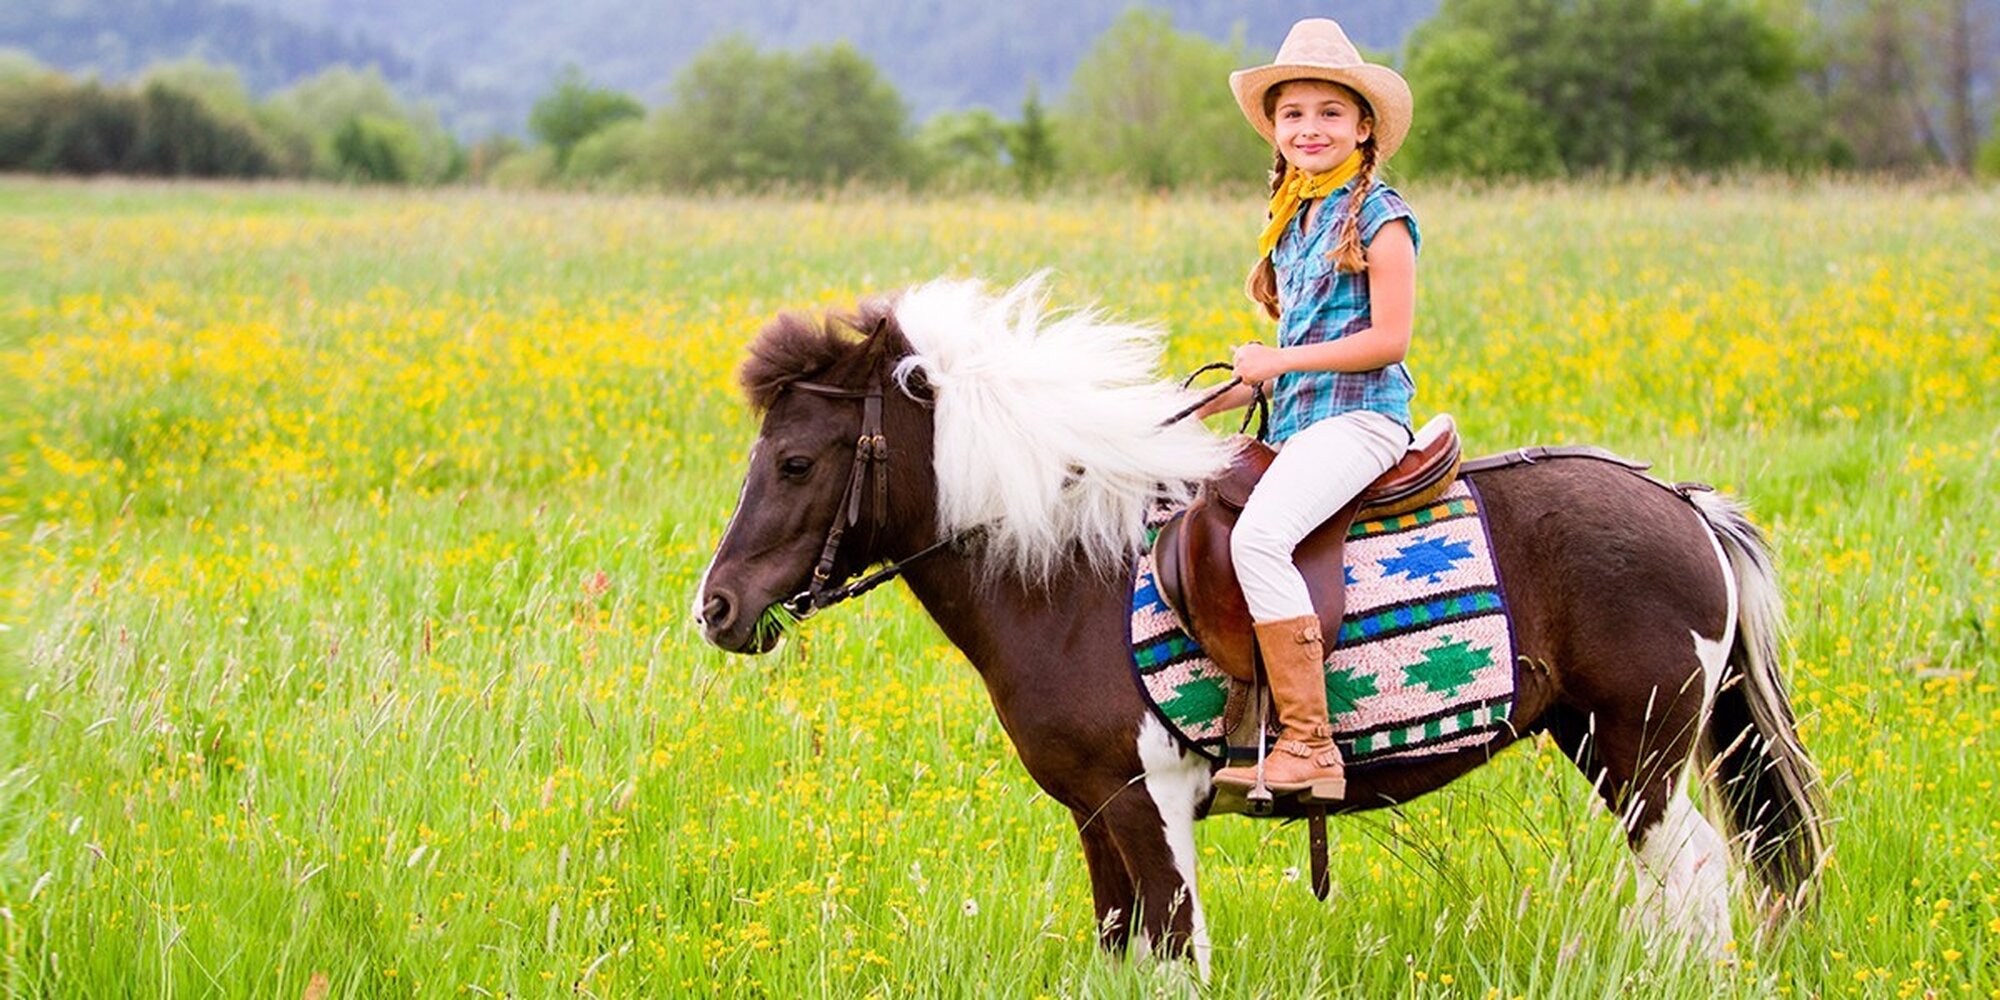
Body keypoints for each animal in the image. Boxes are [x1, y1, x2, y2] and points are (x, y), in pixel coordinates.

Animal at [700, 276, 1832, 976]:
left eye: (795, 461)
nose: (716, 607)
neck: (1069, 574)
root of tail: (1683, 505)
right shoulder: (1095, 814)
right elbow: (1120, 952)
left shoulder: (1147, 801)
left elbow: (1176, 955)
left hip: (1637, 747)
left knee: (1691, 880)